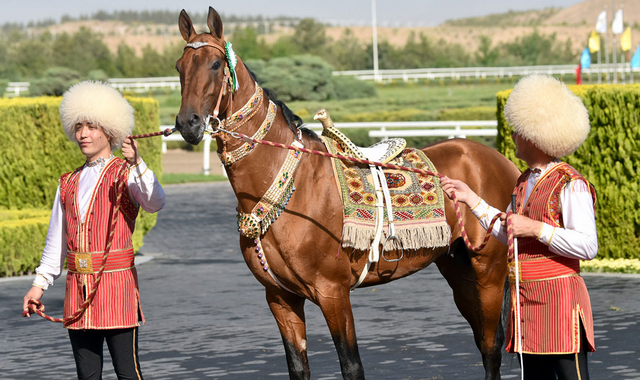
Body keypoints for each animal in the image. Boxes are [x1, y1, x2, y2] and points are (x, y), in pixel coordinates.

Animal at [174, 6, 520, 380]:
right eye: (179, 67)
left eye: (215, 64)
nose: (188, 123)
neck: (289, 191)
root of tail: (499, 161)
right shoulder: (280, 298)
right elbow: (298, 367)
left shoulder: (333, 293)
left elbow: (351, 365)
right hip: (458, 271)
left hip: (488, 273)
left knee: (491, 347)